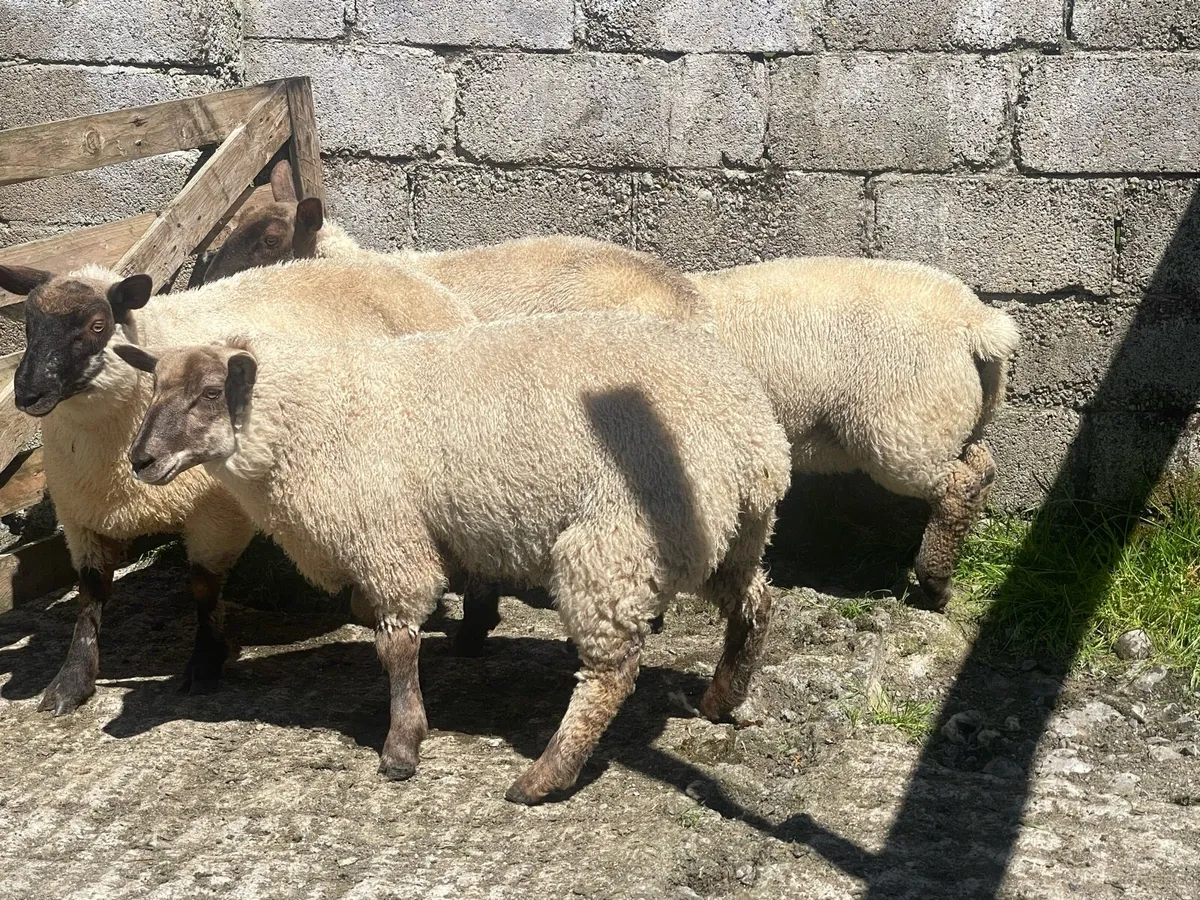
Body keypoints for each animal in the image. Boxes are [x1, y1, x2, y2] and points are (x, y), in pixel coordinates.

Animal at [0, 259, 474, 714]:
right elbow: (91, 598)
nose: (26, 394)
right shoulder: (82, 515)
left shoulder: (215, 514)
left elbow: (204, 588)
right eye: (28, 322)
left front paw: (205, 665)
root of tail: (410, 273)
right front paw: (70, 684)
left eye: (98, 325)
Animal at [114, 312, 793, 804]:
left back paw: (543, 779)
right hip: (726, 539)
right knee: (757, 601)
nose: (140, 460)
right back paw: (721, 699)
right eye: (153, 388)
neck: (309, 415)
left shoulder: (388, 541)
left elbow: (395, 646)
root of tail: (756, 440)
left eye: (210, 393)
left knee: (610, 675)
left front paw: (402, 748)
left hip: (615, 544)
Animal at [202, 181, 1018, 616]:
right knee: (979, 468)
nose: (193, 282)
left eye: (263, 239)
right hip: (946, 421)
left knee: (958, 483)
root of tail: (981, 324)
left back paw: (931, 584)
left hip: (898, 430)